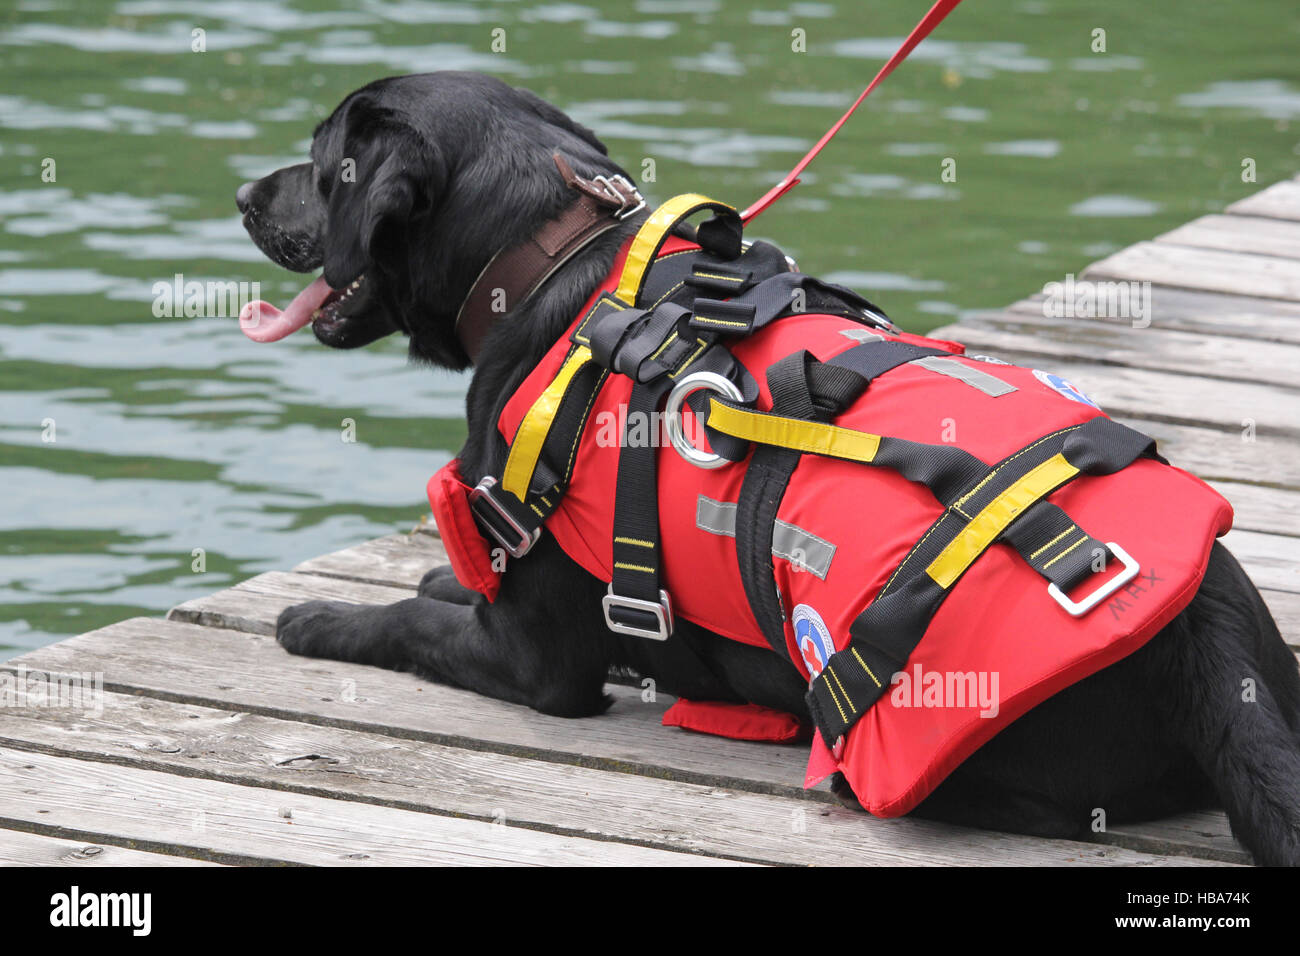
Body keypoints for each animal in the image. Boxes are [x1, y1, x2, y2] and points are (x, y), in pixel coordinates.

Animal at [239, 72, 1300, 868]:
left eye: (322, 166)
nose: (245, 196)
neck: (550, 258)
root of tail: (1203, 629)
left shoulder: (535, 662)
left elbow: (406, 624)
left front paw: (316, 619)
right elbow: (452, 592)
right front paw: (435, 576)